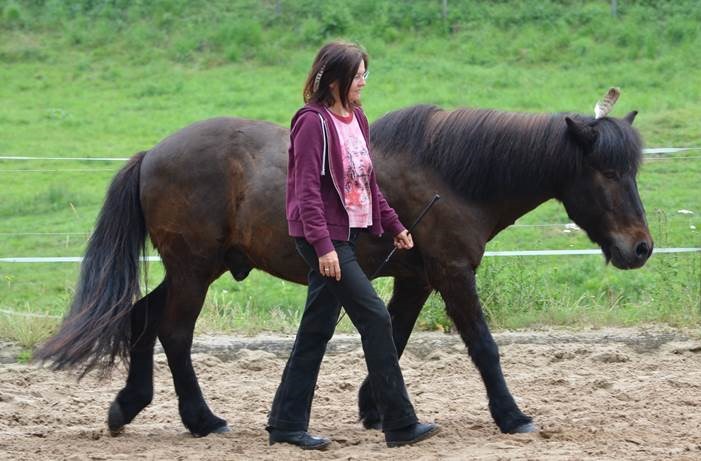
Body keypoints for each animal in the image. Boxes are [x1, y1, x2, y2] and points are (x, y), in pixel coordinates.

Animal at [37, 102, 652, 436]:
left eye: (633, 171)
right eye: (608, 173)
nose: (641, 248)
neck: (448, 174)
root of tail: (153, 153)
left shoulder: (415, 278)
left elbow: (394, 336)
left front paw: (374, 407)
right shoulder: (451, 274)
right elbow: (482, 346)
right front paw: (511, 414)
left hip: (195, 269)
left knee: (142, 317)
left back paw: (129, 405)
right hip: (193, 270)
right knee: (174, 331)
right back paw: (201, 419)